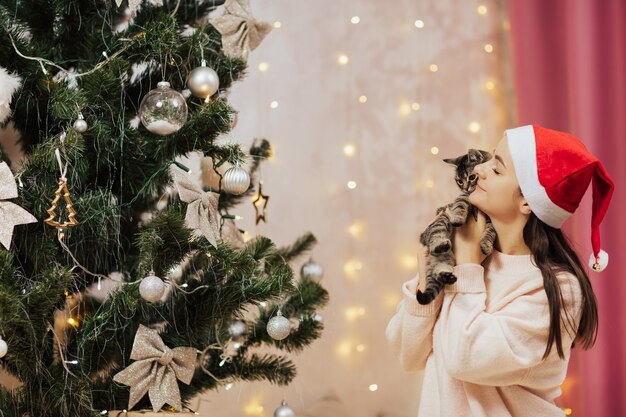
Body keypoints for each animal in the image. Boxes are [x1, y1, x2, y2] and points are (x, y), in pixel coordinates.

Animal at [414, 148, 498, 304]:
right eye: (459, 181)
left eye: (472, 177)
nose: (465, 187)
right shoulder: (462, 198)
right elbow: (460, 205)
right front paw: (458, 218)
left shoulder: (493, 218)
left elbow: (491, 232)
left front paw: (486, 245)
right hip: (440, 222)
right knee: (436, 237)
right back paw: (440, 245)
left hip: (447, 261)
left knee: (437, 275)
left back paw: (447, 276)